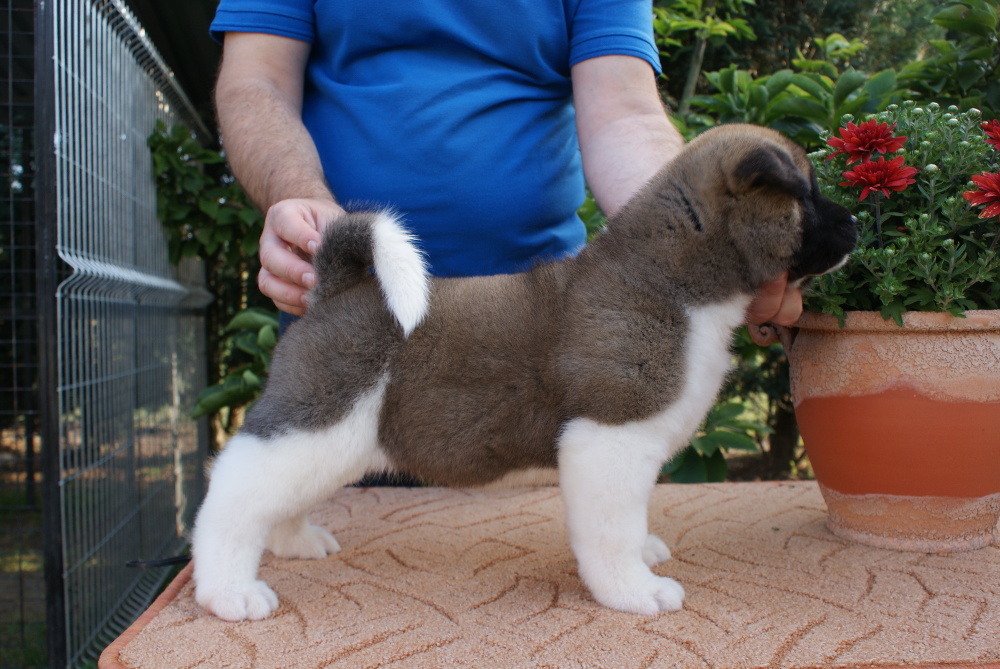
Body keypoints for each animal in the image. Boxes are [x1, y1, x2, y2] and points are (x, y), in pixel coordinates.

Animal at [191, 124, 857, 622]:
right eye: (806, 195)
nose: (855, 224)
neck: (671, 282)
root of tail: (335, 290)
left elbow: (633, 518)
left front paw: (642, 557)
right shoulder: (608, 440)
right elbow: (611, 532)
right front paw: (631, 590)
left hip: (325, 440)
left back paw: (293, 541)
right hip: (315, 422)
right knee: (232, 497)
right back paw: (229, 591)